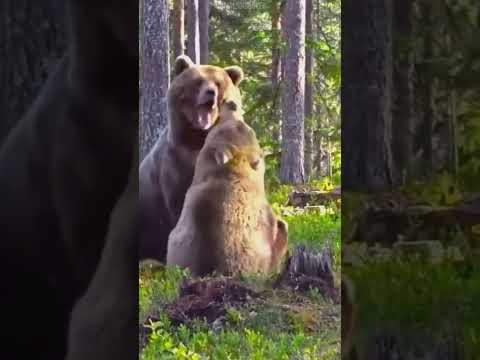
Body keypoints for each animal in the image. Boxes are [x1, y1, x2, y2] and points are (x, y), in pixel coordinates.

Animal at [138, 57, 244, 264]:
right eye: (198, 81)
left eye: (218, 83)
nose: (210, 92)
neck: (198, 137)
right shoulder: (174, 165)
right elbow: (179, 206)